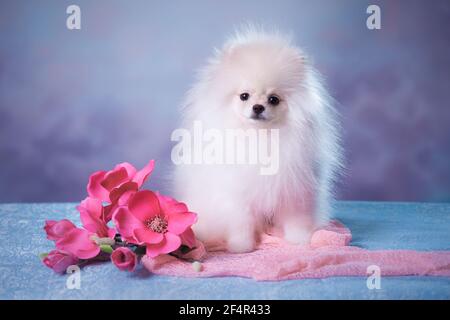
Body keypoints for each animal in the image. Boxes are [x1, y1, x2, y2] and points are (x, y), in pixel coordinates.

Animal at [171, 27, 342, 252]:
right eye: (244, 96)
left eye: (273, 99)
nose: (258, 107)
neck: (261, 136)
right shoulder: (237, 195)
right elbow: (241, 222)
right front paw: (241, 246)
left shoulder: (294, 189)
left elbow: (296, 219)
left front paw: (299, 241)